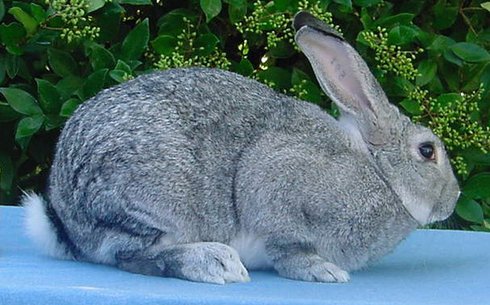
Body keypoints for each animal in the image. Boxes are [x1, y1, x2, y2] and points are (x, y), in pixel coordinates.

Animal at [22, 11, 460, 282]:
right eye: (427, 151)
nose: (454, 198)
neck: (379, 173)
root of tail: (65, 217)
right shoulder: (275, 191)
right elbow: (288, 248)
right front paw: (322, 271)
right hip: (154, 201)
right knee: (129, 255)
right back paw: (213, 263)